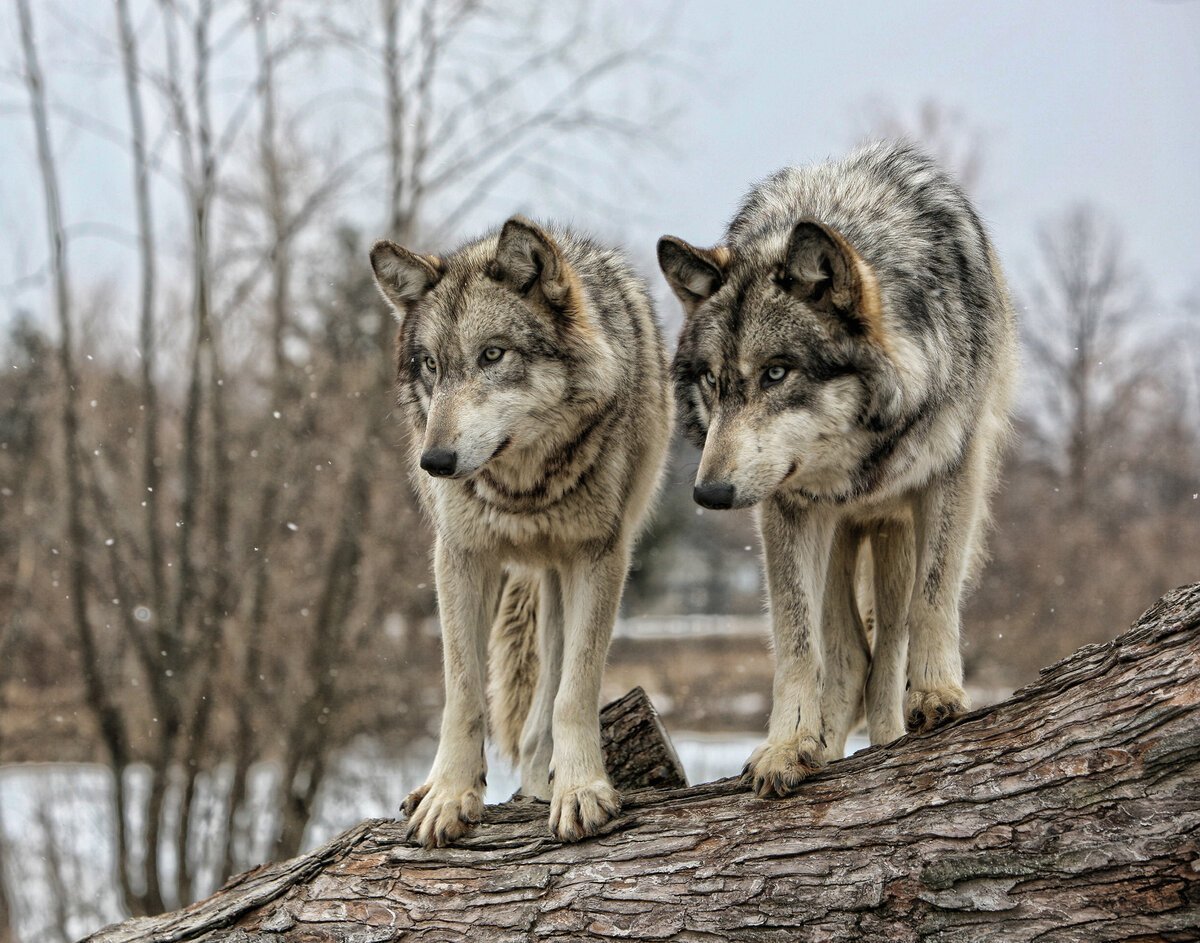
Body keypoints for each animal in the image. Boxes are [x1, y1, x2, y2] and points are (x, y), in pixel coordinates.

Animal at [372, 214, 676, 844]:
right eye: (431, 365)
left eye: (492, 355)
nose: (434, 461)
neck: (523, 491)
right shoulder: (460, 557)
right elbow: (463, 692)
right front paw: (450, 795)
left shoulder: (599, 556)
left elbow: (574, 693)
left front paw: (580, 789)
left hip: (563, 577)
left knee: (548, 700)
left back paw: (543, 783)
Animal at [662, 141, 1017, 791]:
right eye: (712, 381)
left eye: (777, 373)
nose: (710, 494)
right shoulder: (790, 508)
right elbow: (798, 642)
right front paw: (788, 745)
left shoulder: (953, 473)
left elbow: (933, 600)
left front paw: (937, 696)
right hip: (838, 532)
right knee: (849, 652)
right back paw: (824, 741)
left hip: (894, 530)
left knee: (886, 652)